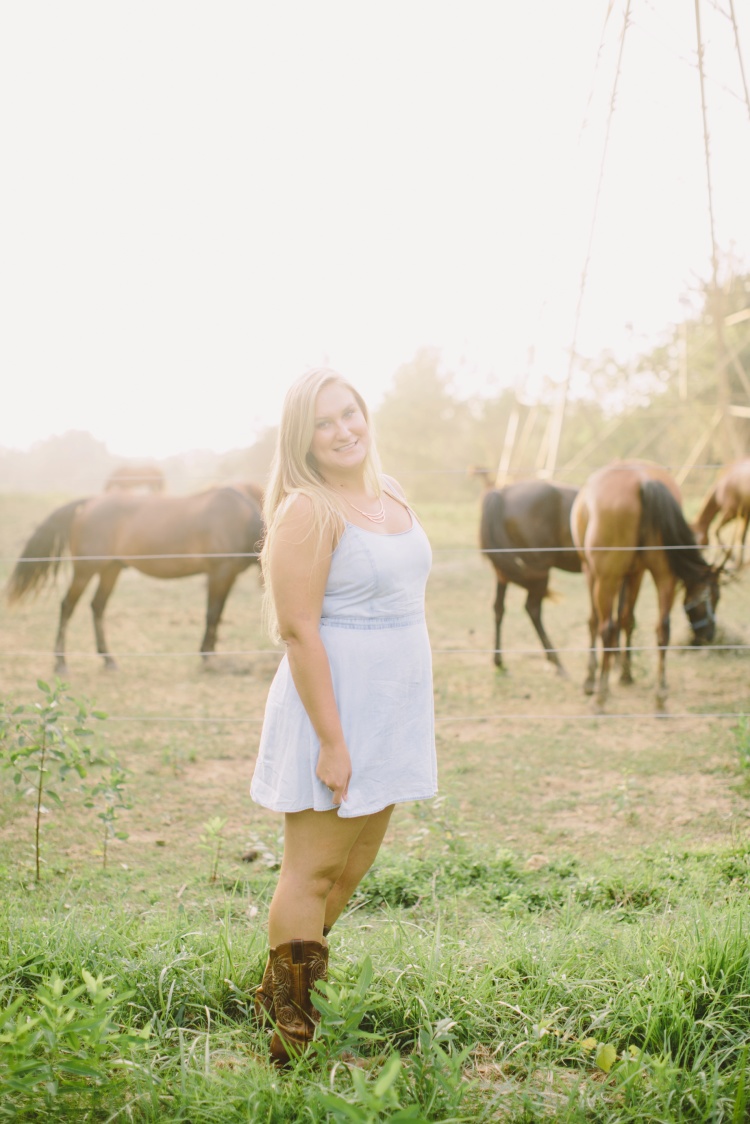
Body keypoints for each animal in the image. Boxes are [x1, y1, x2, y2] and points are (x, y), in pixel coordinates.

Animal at [5, 481, 264, 669]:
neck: (239, 519)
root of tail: (89, 503)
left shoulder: (228, 576)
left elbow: (218, 615)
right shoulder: (220, 573)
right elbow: (212, 614)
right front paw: (207, 656)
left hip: (110, 570)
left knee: (97, 606)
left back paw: (108, 658)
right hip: (85, 570)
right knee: (67, 606)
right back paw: (60, 662)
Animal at [571, 463, 724, 710]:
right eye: (714, 598)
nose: (709, 634)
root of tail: (643, 481)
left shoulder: (592, 572)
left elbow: (596, 621)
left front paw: (592, 678)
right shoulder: (636, 573)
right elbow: (627, 619)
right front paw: (624, 672)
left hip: (607, 578)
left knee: (606, 627)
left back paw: (601, 695)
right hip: (663, 575)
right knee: (662, 628)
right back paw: (660, 695)